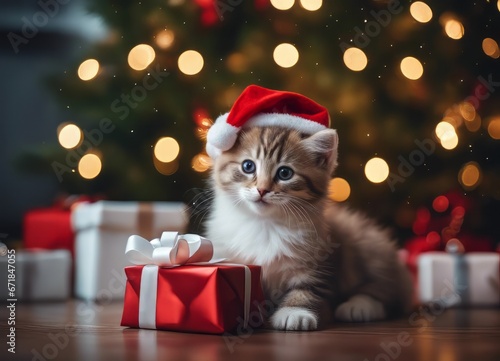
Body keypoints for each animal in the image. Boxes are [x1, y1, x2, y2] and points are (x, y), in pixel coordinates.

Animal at [204, 126, 414, 330]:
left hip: (367, 244)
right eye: (248, 166)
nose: (262, 190)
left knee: (389, 289)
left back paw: (359, 306)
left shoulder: (320, 260)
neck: (264, 223)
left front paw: (295, 311)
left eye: (285, 173)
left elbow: (308, 287)